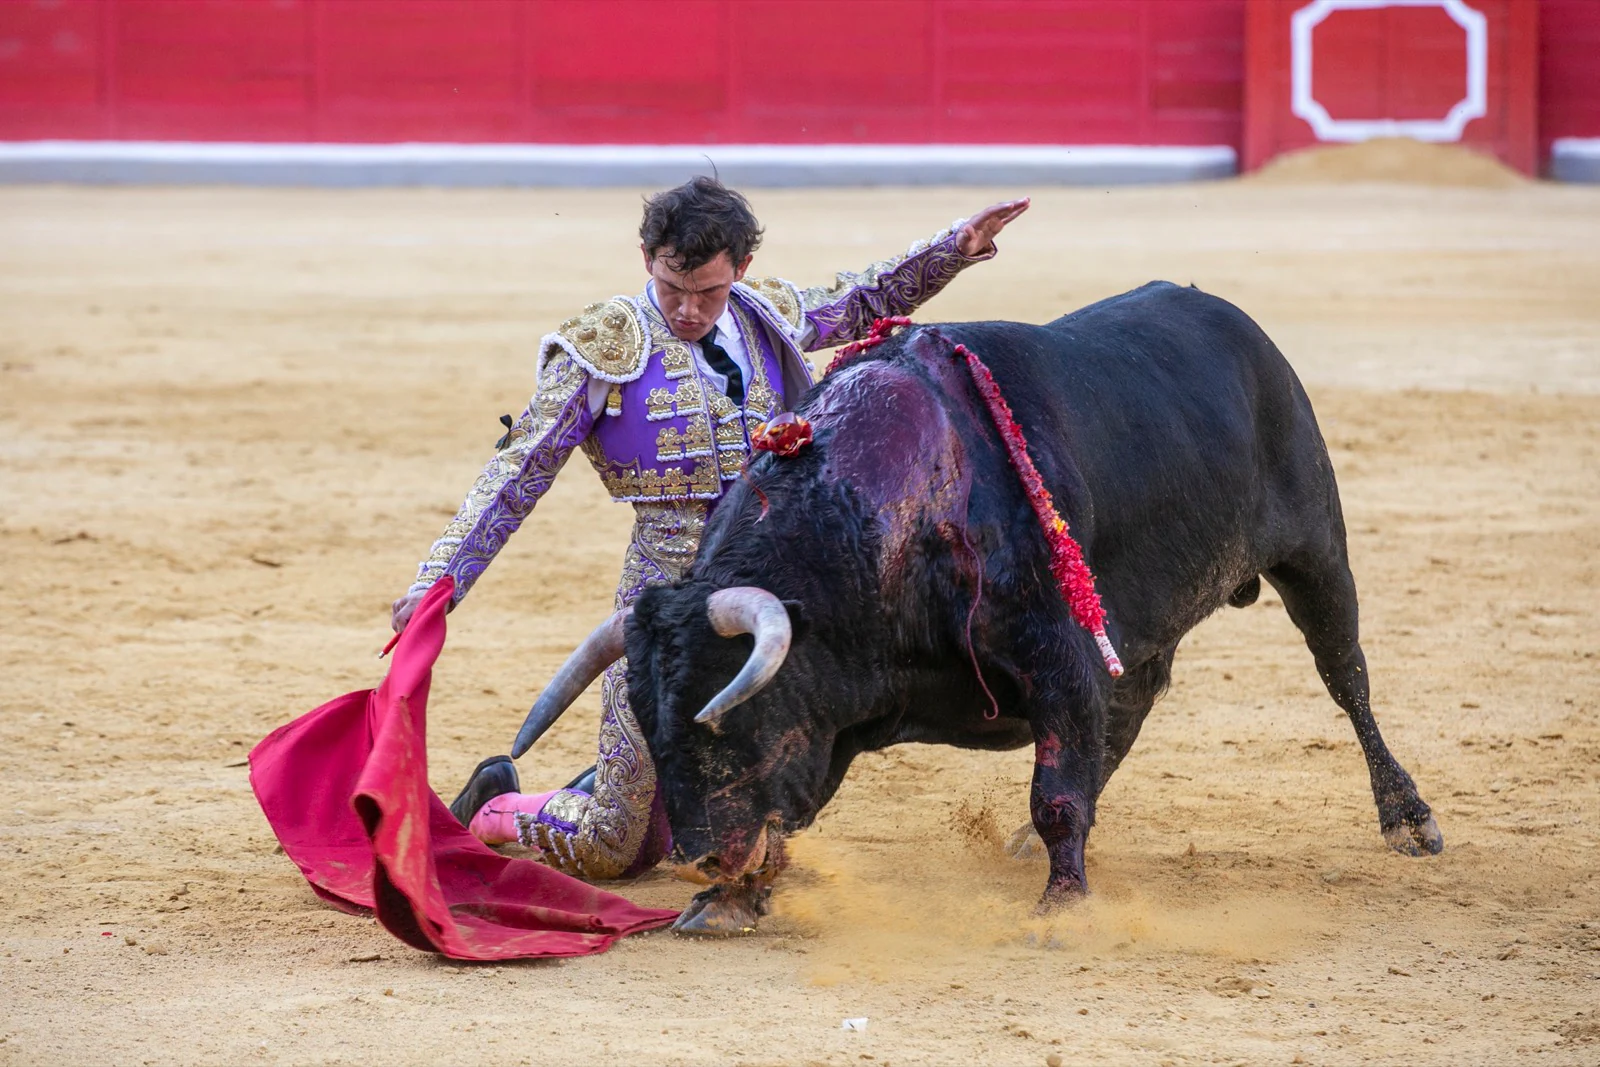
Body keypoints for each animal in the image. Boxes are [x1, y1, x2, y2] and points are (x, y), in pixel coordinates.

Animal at [540, 281, 1452, 934]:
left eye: (728, 718)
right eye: (649, 726)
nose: (698, 859)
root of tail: (1237, 323)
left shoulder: (1056, 654)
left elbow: (1055, 791)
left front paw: (1062, 906)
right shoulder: (846, 706)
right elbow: (797, 808)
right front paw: (730, 903)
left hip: (1316, 552)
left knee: (1347, 677)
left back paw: (1410, 820)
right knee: (1133, 705)